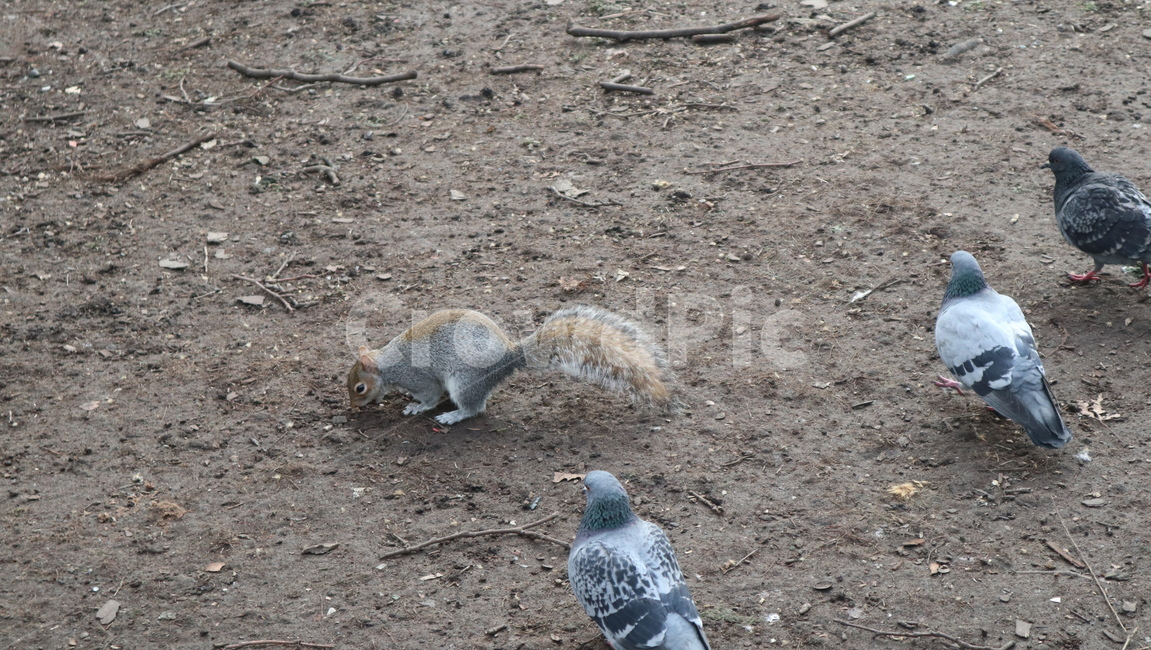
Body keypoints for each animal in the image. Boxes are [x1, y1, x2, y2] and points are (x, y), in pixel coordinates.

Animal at [346, 305, 675, 425]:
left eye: (359, 388)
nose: (353, 408)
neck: (386, 364)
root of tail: (506, 357)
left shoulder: (418, 377)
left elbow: (429, 396)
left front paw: (416, 407)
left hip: (464, 381)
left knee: (474, 407)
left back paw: (454, 415)